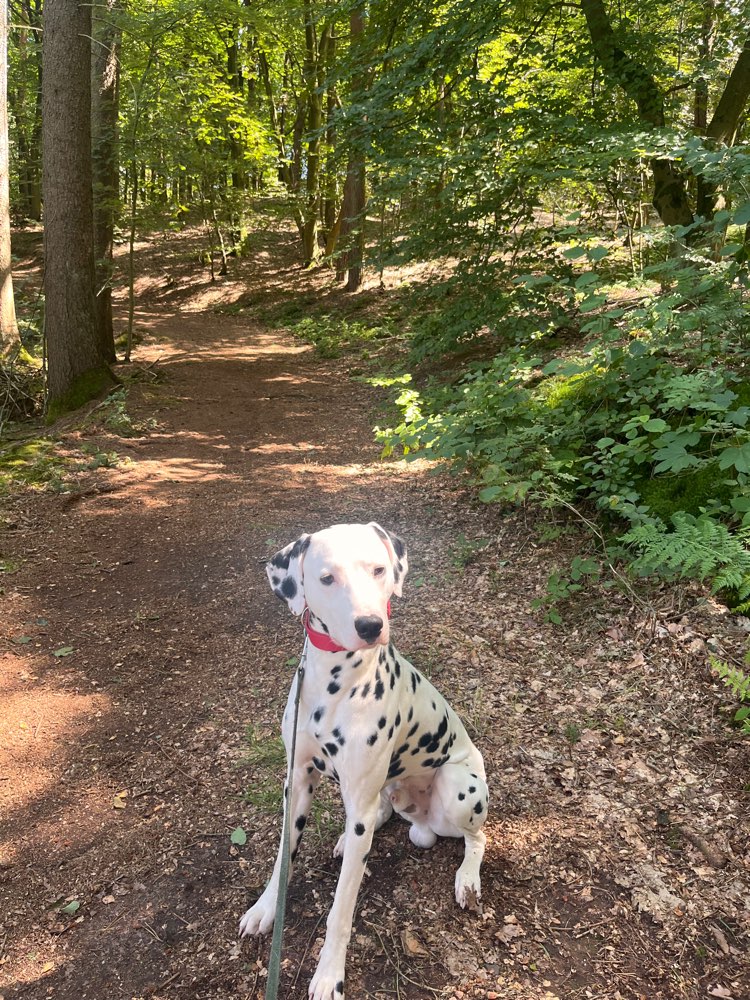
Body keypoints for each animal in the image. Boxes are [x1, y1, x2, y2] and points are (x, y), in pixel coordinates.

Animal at [238, 524, 490, 1000]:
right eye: (326, 578)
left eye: (378, 569)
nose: (371, 625)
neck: (333, 683)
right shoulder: (297, 783)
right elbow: (283, 857)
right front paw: (265, 908)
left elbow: (341, 909)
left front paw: (328, 975)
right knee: (382, 809)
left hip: (457, 789)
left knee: (477, 838)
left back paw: (467, 878)